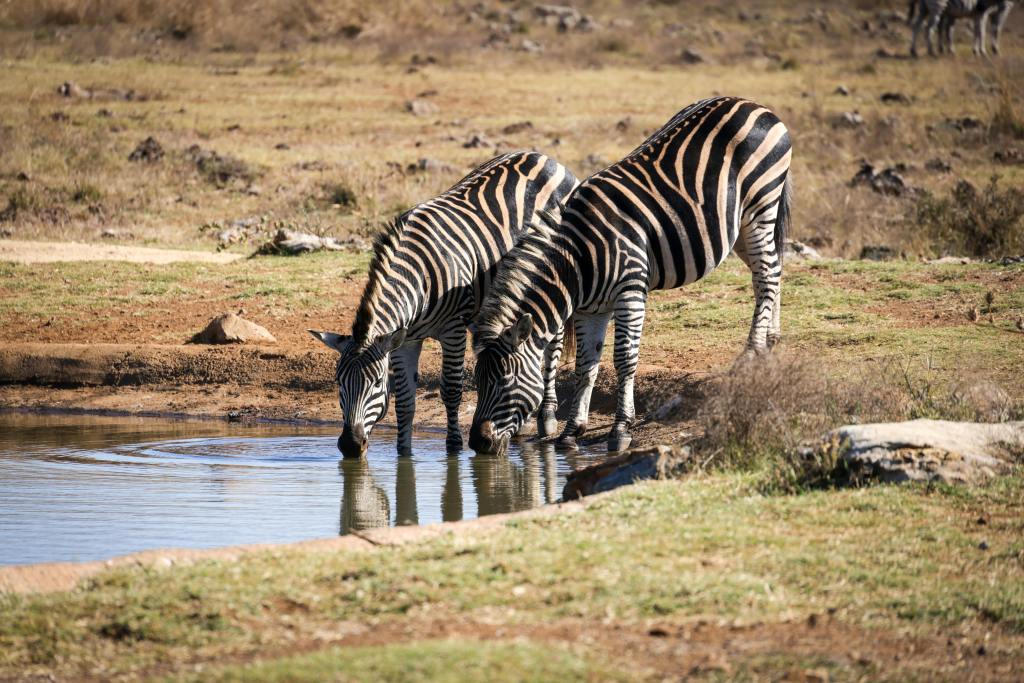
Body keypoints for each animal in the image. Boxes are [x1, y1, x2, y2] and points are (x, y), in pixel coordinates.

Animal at [310, 151, 578, 458]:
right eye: (338, 382)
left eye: (377, 382)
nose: (351, 446)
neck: (418, 279)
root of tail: (544, 157)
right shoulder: (405, 340)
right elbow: (405, 399)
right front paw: (404, 453)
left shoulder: (453, 329)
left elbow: (451, 389)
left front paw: (454, 447)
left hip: (553, 274)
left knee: (552, 348)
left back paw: (546, 417)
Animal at [468, 97, 792, 455]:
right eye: (478, 381)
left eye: (504, 381)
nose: (478, 443)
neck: (579, 261)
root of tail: (751, 103)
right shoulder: (591, 309)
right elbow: (585, 366)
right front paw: (572, 432)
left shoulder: (631, 293)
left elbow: (624, 359)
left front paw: (621, 429)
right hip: (738, 227)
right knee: (770, 271)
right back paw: (770, 342)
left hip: (760, 207)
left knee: (766, 275)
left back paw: (751, 352)